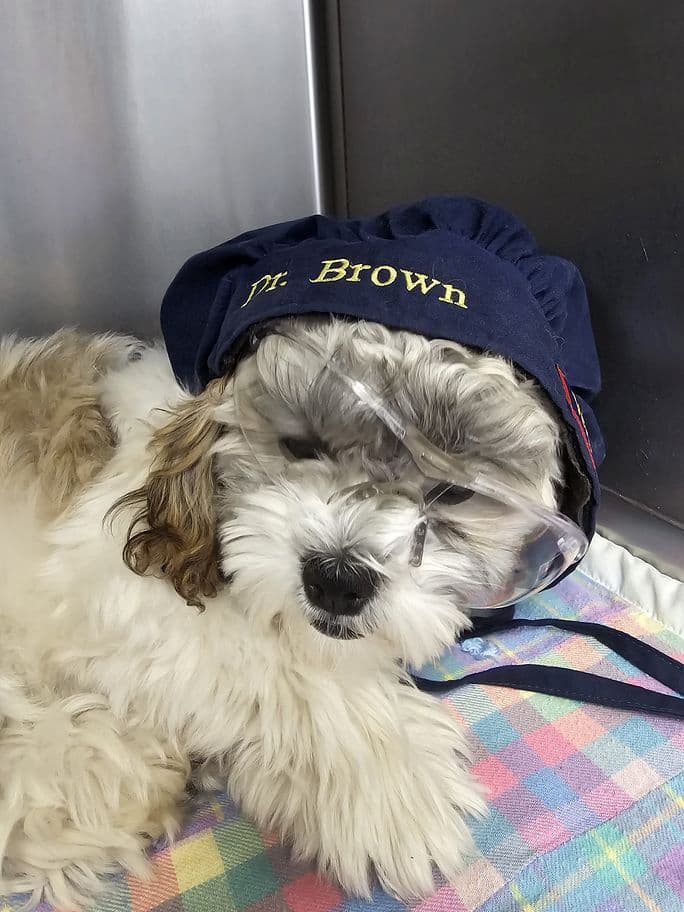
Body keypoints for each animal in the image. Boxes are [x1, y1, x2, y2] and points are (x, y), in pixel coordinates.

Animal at [0, 318, 560, 908]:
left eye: (453, 492)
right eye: (300, 446)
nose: (339, 577)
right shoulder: (103, 589)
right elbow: (283, 670)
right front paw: (393, 787)